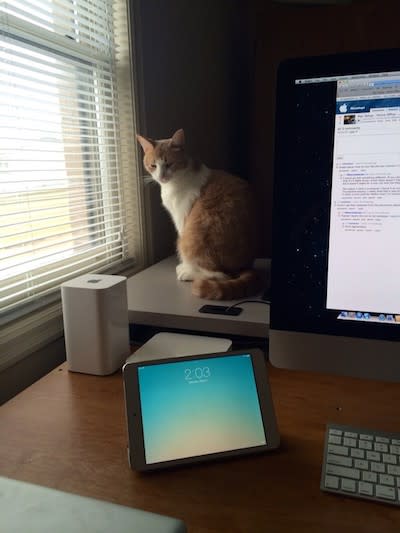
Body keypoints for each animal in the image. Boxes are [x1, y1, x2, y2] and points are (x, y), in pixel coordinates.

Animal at [138, 127, 262, 298]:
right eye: (153, 165)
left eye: (169, 164)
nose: (162, 176)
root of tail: (245, 265)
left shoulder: (182, 220)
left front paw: (186, 267)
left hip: (193, 237)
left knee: (221, 275)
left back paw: (189, 273)